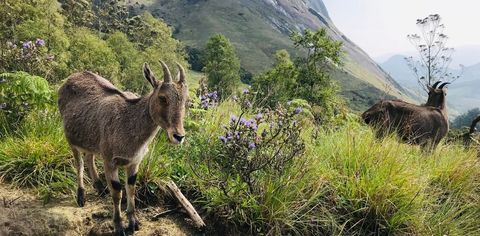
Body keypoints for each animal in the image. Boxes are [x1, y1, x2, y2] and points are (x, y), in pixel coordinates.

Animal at [58, 61, 188, 235]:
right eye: (163, 98)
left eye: (185, 100)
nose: (178, 136)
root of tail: (69, 79)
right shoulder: (110, 161)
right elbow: (117, 192)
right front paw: (119, 226)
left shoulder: (134, 162)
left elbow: (130, 188)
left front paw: (134, 222)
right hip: (71, 139)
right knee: (79, 164)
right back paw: (81, 196)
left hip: (92, 139)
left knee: (89, 156)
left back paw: (100, 187)